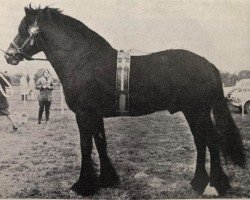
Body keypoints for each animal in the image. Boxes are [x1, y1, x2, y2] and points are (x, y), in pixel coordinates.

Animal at [3, 5, 246, 197]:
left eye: (23, 29)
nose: (9, 55)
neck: (83, 60)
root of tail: (208, 64)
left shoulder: (84, 114)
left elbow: (85, 146)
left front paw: (83, 185)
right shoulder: (95, 115)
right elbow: (100, 143)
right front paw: (107, 179)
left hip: (198, 111)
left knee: (212, 140)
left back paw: (216, 185)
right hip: (193, 112)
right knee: (201, 141)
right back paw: (198, 182)